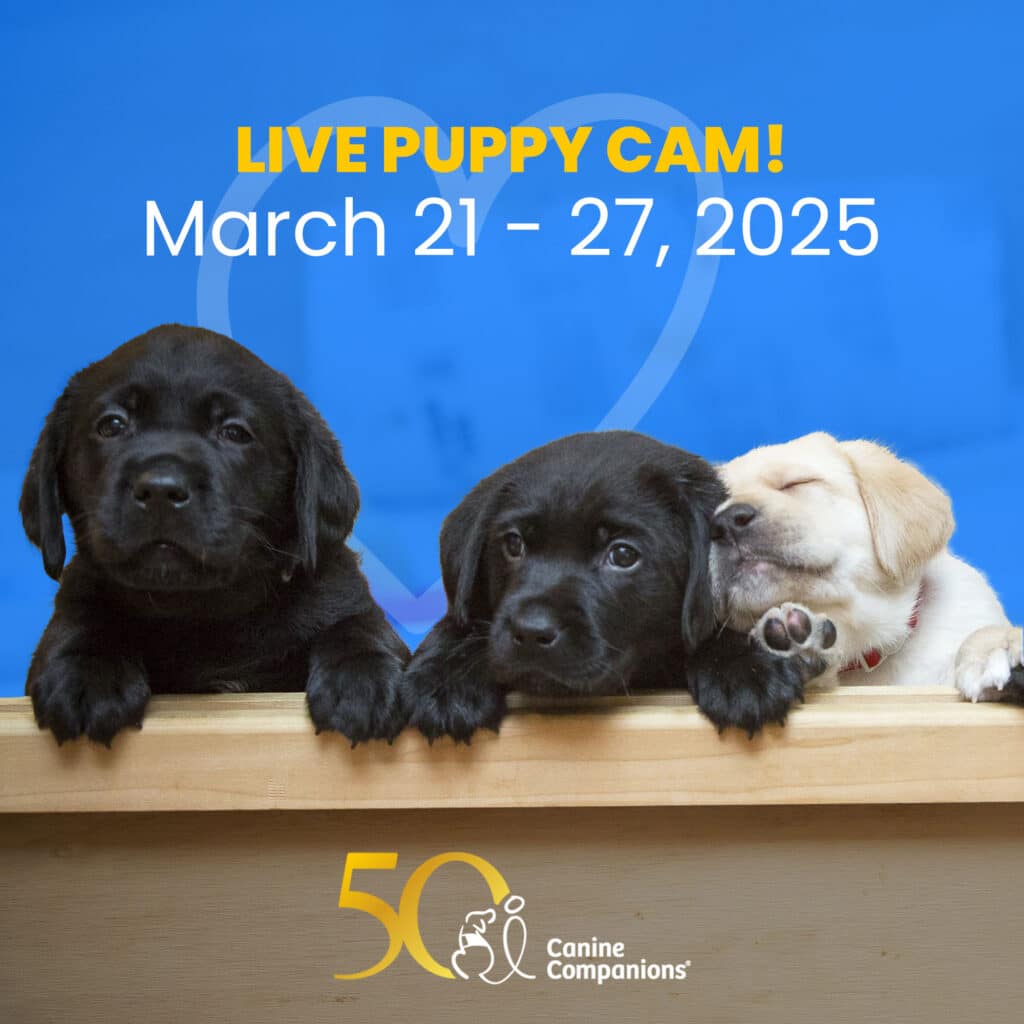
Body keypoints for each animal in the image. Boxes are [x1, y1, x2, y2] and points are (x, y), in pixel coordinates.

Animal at [19, 325, 407, 745]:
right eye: (112, 425)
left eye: (234, 432)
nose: (160, 489)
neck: (205, 615)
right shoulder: (79, 590)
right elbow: (80, 617)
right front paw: (88, 674)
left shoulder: (338, 591)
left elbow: (357, 623)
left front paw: (362, 679)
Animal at [403, 428, 827, 741]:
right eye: (513, 544)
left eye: (622, 555)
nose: (531, 632)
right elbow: (459, 621)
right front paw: (448, 678)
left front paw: (745, 667)